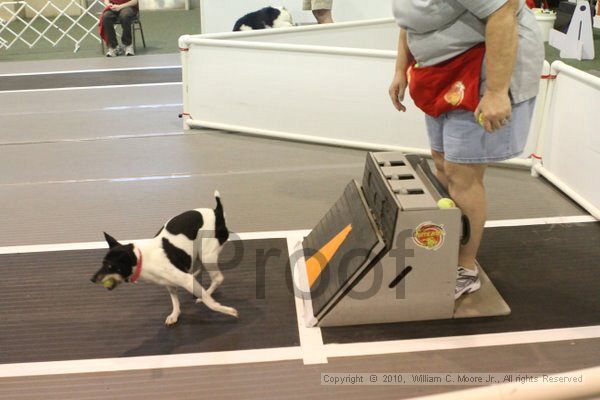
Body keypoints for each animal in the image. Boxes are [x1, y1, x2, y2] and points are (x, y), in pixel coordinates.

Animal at [90, 191, 238, 324]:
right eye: (102, 263)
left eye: (110, 266)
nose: (92, 279)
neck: (142, 259)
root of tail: (217, 212)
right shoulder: (170, 284)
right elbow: (175, 300)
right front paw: (175, 314)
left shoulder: (185, 280)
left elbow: (209, 302)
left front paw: (224, 309)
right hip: (198, 254)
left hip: (207, 255)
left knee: (218, 278)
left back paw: (206, 294)